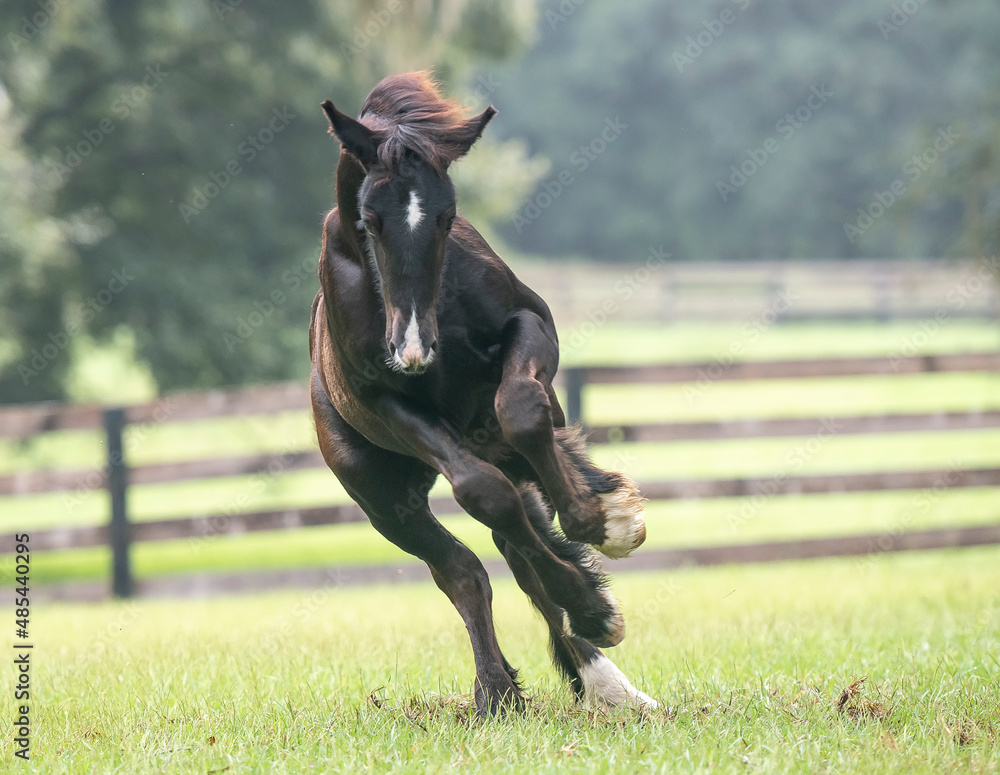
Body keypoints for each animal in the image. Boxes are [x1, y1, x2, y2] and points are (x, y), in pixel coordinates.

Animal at [312, 71, 656, 716]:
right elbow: (483, 496)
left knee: (523, 526)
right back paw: (500, 690)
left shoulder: (529, 325)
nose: (413, 348)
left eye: (448, 216)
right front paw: (592, 607)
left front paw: (599, 522)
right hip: (386, 503)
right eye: (369, 218)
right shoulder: (385, 403)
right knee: (469, 567)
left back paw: (606, 673)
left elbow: (523, 411)